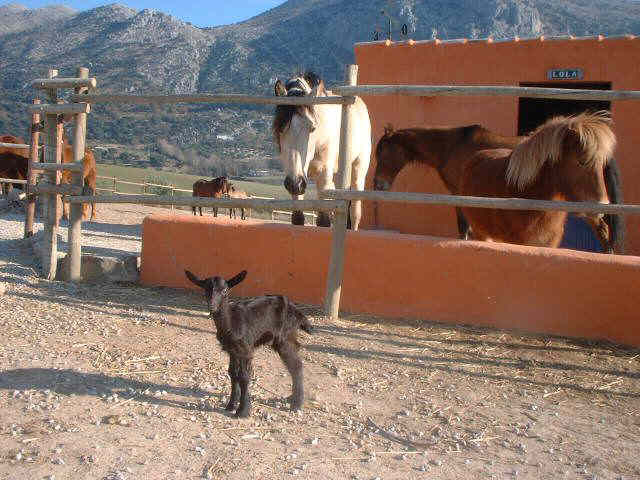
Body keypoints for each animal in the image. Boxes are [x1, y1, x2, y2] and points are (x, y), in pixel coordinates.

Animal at [272, 71, 372, 231]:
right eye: (280, 128)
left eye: (312, 128)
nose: (295, 183)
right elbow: (297, 219)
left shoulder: (323, 175)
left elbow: (324, 222)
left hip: (358, 169)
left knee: (355, 213)